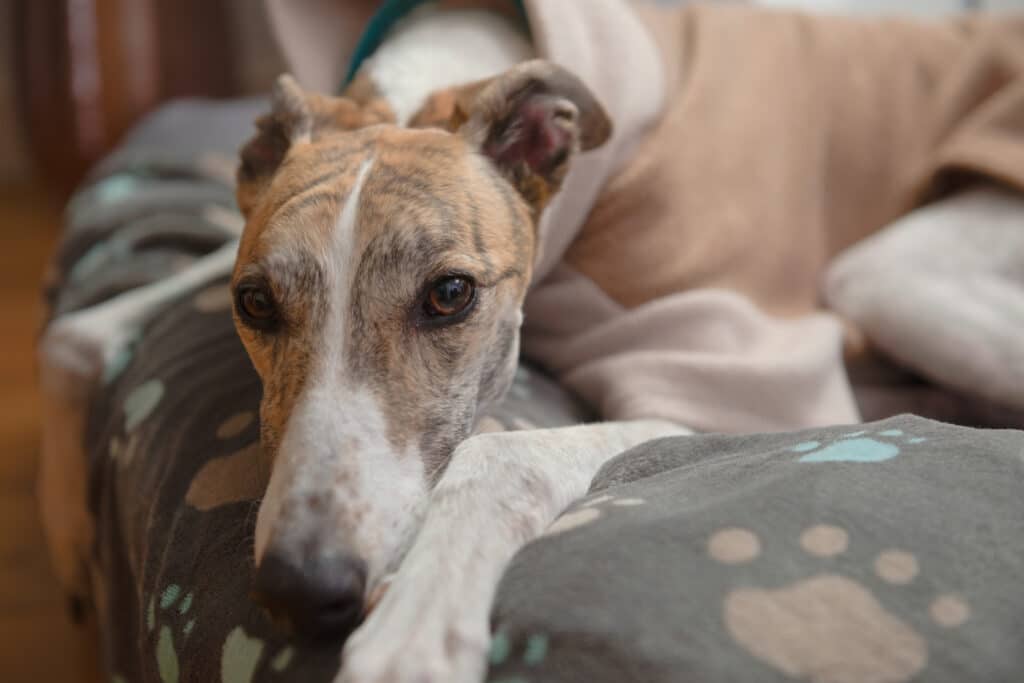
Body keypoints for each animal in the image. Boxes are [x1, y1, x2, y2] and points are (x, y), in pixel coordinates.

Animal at [37, 1, 1024, 683]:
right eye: (254, 301)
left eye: (450, 294)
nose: (300, 586)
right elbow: (76, 335)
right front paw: (75, 551)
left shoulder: (734, 384)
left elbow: (499, 454)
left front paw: (415, 629)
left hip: (889, 275)